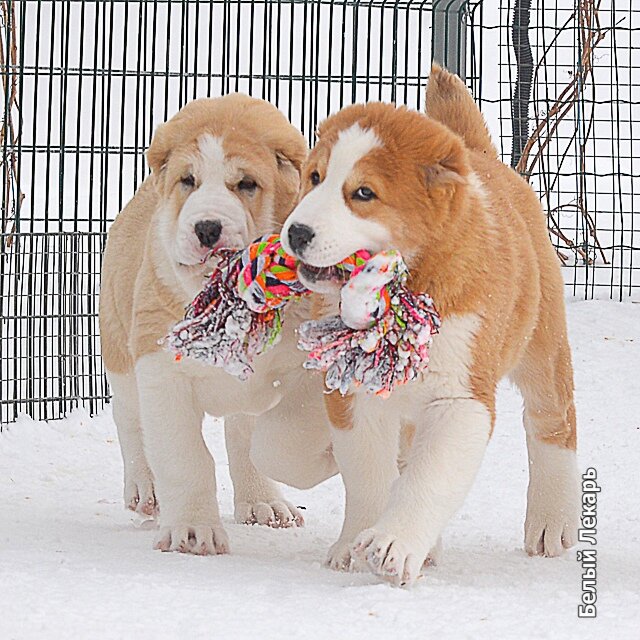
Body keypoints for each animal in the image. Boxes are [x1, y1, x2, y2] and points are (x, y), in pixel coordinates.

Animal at [99, 96, 324, 556]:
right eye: (188, 180)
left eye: (247, 184)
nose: (206, 226)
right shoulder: (161, 370)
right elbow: (185, 458)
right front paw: (191, 531)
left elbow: (287, 432)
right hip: (120, 348)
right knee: (130, 419)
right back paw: (146, 490)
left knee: (241, 430)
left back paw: (265, 502)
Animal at [255, 66, 580, 584]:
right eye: (314, 178)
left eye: (363, 193)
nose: (297, 232)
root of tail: (480, 155)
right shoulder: (352, 395)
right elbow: (367, 474)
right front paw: (355, 544)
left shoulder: (460, 399)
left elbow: (428, 480)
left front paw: (394, 545)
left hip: (541, 346)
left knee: (552, 424)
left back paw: (553, 522)